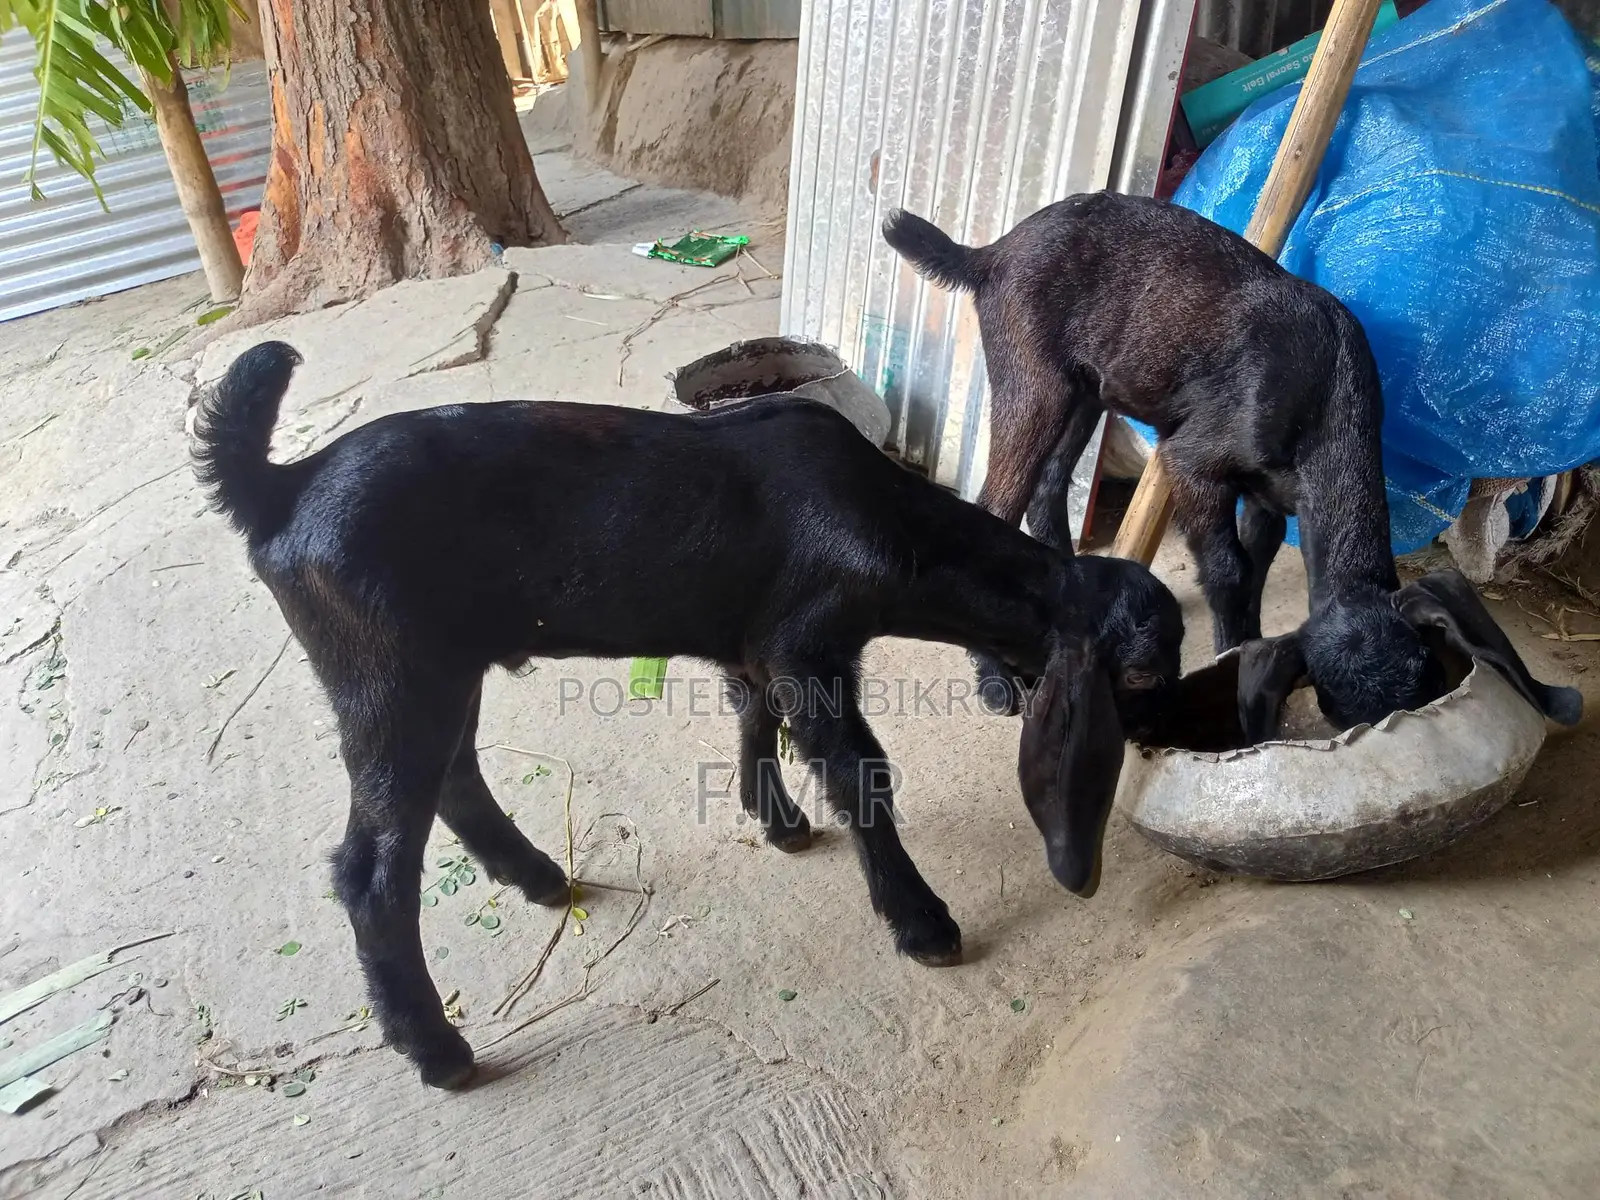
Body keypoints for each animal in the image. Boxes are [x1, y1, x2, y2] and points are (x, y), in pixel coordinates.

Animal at [193, 340, 1183, 1089]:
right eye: (1138, 671)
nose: (1169, 733)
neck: (892, 523)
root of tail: (281, 488)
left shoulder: (756, 645)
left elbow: (754, 721)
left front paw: (777, 822)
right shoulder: (808, 646)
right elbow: (860, 773)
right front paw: (920, 921)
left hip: (440, 669)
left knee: (456, 776)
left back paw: (536, 877)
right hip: (388, 676)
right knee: (373, 867)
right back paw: (436, 1048)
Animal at [882, 192, 1581, 738]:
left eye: (1428, 683)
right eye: (1334, 712)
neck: (1330, 396)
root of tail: (992, 253)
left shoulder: (1269, 497)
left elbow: (1256, 566)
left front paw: (1240, 642)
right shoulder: (1191, 461)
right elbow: (1226, 569)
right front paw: (1226, 652)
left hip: (1083, 390)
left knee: (1047, 491)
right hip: (1034, 381)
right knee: (999, 502)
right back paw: (994, 679)